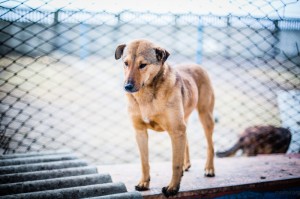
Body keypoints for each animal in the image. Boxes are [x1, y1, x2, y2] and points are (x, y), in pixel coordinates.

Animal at [115, 39, 216, 197]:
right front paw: (144, 183)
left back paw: (209, 169)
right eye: (126, 63)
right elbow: (144, 162)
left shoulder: (176, 131)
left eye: (143, 65)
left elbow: (175, 163)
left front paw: (172, 188)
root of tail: (196, 65)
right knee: (186, 141)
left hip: (206, 116)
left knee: (210, 146)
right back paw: (186, 165)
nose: (127, 86)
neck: (146, 95)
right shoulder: (140, 132)